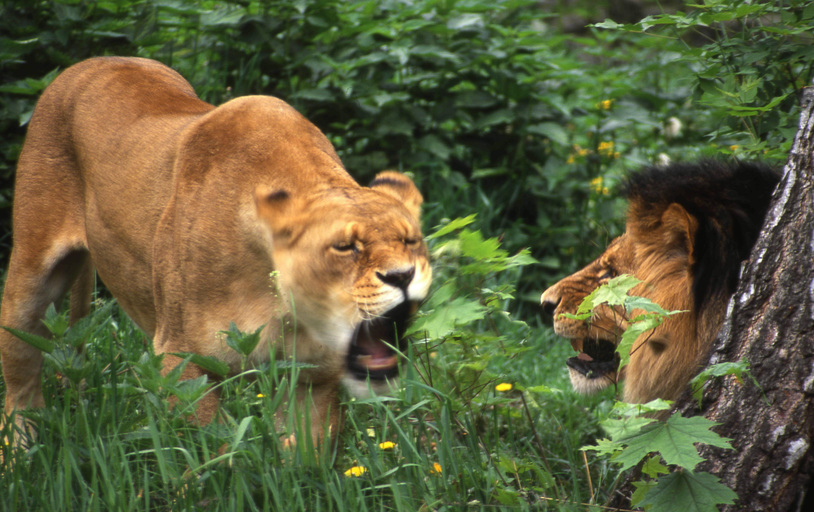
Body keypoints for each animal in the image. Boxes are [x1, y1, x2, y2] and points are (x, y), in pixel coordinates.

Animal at [0, 57, 434, 444]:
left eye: (410, 241)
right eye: (345, 247)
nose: (402, 276)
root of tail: (87, 64)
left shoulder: (316, 376)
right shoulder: (181, 359)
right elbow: (212, 456)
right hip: (28, 281)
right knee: (21, 384)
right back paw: (23, 454)